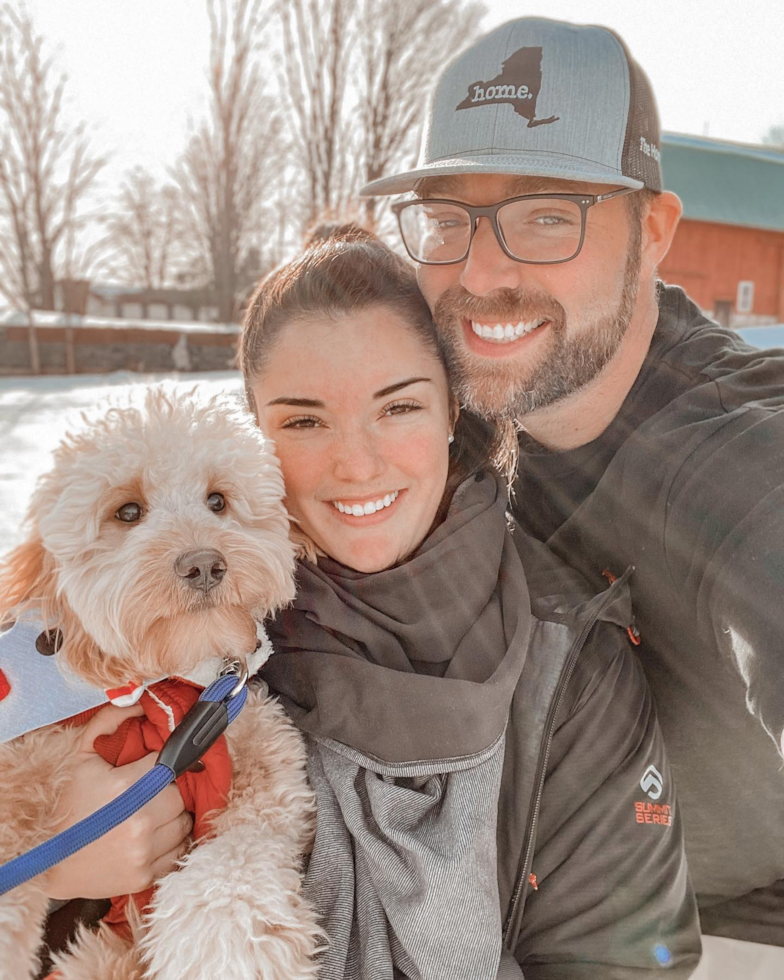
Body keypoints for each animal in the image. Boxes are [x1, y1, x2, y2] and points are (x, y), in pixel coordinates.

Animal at [0, 386, 322, 980]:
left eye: (217, 501)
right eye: (128, 512)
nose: (204, 564)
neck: (163, 687)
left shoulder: (263, 777)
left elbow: (236, 865)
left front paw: (226, 951)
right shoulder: (26, 761)